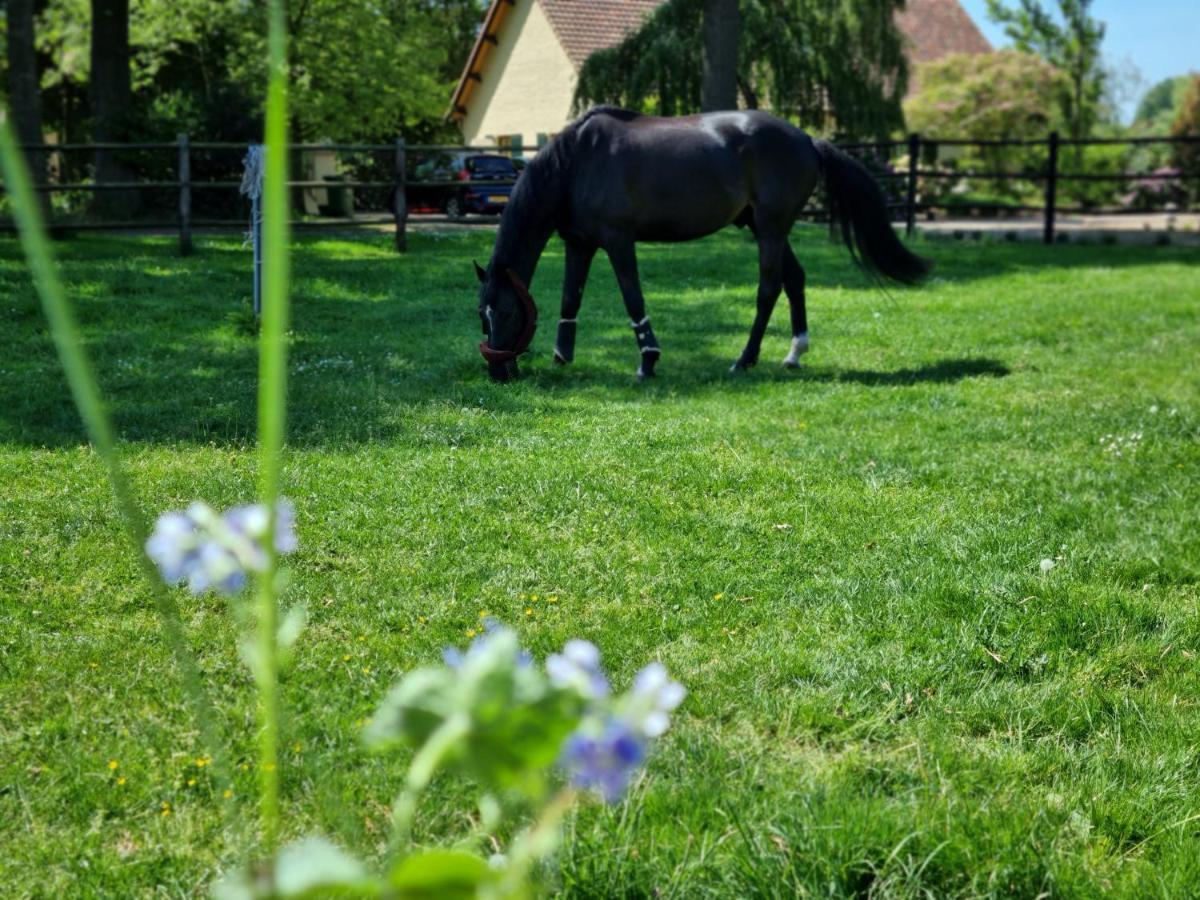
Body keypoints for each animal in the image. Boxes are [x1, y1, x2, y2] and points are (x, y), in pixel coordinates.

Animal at [475, 107, 926, 381]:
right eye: (482, 315)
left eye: (507, 312)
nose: (498, 373)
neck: (576, 161)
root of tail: (807, 139)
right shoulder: (579, 244)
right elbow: (572, 299)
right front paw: (562, 357)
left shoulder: (619, 242)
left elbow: (632, 299)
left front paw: (648, 360)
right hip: (766, 228)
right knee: (795, 280)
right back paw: (794, 353)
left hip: (771, 228)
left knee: (768, 289)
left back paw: (744, 360)